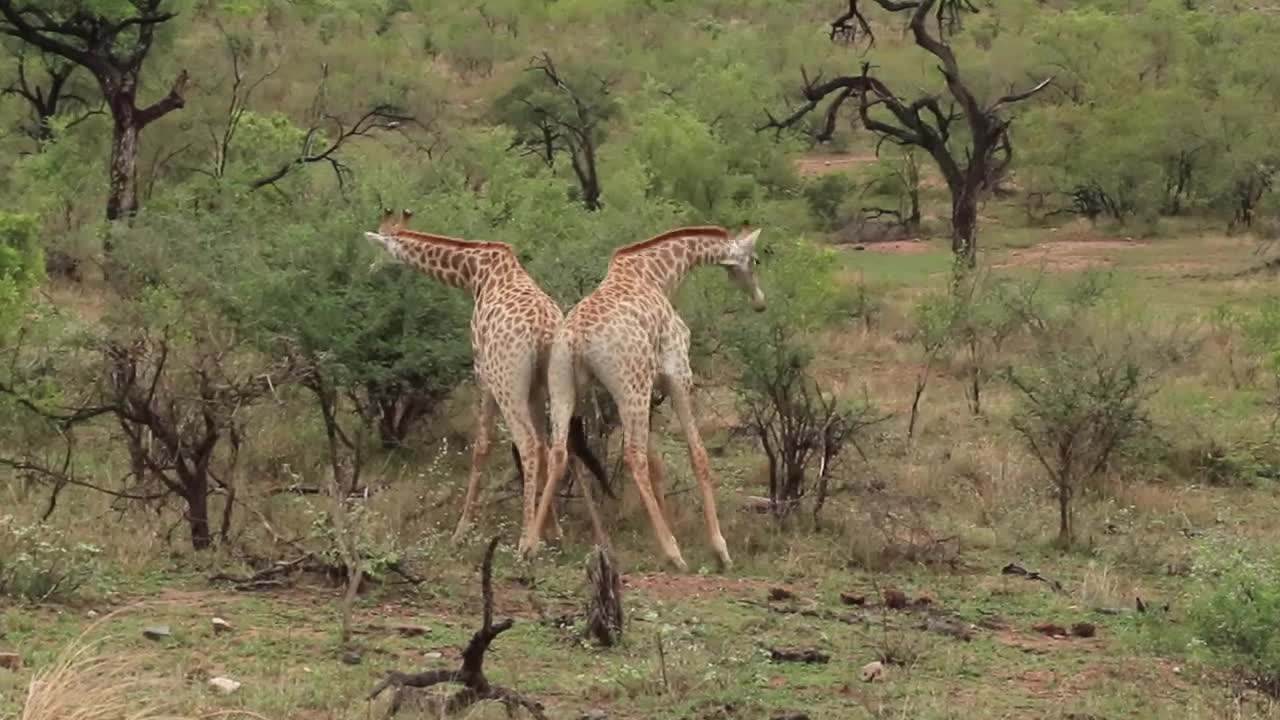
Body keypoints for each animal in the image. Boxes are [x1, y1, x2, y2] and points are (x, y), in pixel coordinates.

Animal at [366, 207, 609, 543]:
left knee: (528, 445)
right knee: (559, 446)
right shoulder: (535, 388)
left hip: (508, 383)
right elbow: (543, 446)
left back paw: (524, 538)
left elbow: (482, 446)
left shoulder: (482, 373)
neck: (475, 273)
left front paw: (462, 529)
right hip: (555, 383)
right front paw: (553, 528)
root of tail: (543, 332)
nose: (370, 270)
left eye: (379, 246)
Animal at [517, 221, 762, 568]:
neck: (659, 273)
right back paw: (674, 553)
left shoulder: (650, 388)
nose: (760, 302)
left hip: (565, 384)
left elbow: (659, 464)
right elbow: (697, 454)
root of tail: (577, 337)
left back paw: (530, 543)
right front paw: (720, 549)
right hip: (629, 387)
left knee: (558, 451)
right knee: (633, 455)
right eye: (756, 260)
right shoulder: (677, 374)